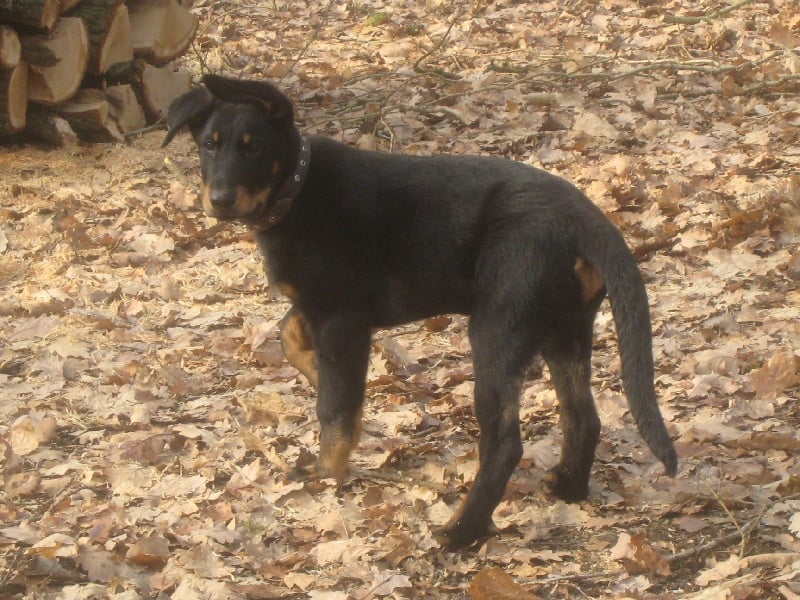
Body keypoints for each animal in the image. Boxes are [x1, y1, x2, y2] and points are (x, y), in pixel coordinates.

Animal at [162, 74, 677, 549]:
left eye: (254, 149)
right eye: (208, 145)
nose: (219, 200)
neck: (297, 187)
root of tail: (586, 219)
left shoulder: (341, 319)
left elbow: (335, 408)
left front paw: (327, 470)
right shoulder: (319, 310)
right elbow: (290, 334)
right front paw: (312, 370)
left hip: (498, 329)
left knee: (505, 442)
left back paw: (461, 531)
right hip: (563, 328)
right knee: (582, 416)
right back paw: (568, 487)